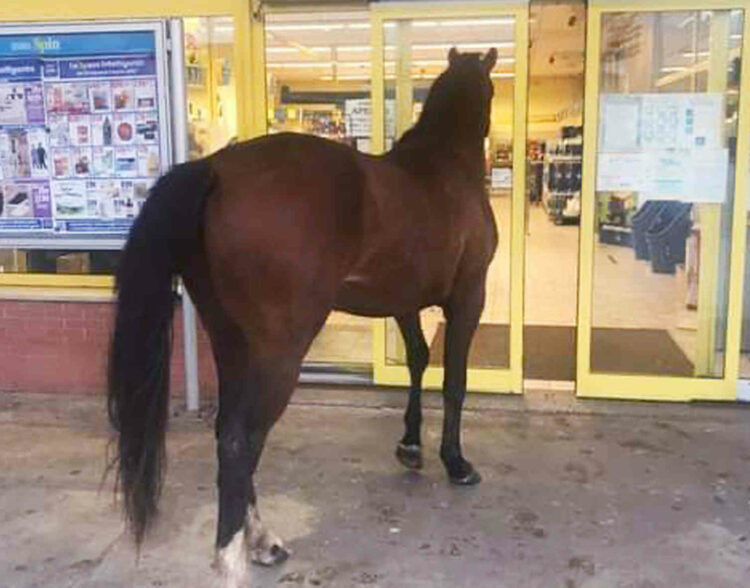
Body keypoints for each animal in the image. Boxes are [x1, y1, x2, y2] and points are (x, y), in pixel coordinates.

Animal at [107, 47, 499, 588]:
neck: (443, 168)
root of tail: (216, 168)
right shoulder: (468, 297)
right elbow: (454, 381)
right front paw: (456, 462)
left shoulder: (403, 301)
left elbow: (418, 361)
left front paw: (410, 445)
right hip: (280, 353)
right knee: (241, 440)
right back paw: (232, 559)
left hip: (231, 342)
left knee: (228, 430)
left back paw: (261, 540)